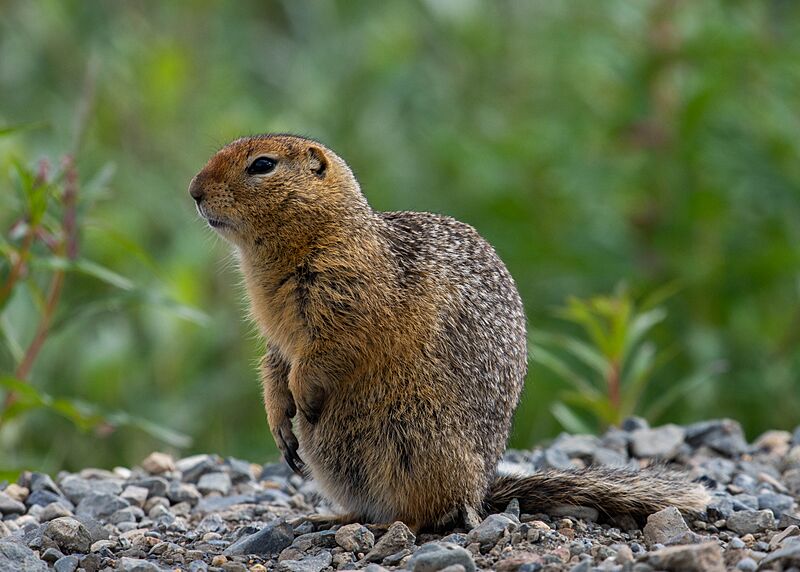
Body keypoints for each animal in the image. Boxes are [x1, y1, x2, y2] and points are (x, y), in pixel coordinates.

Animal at [188, 134, 710, 531]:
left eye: (262, 164)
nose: (193, 190)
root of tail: (481, 492)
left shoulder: (349, 295)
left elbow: (329, 348)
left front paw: (303, 394)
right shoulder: (276, 327)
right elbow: (273, 361)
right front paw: (280, 419)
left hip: (415, 442)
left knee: (427, 513)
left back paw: (385, 525)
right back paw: (331, 517)